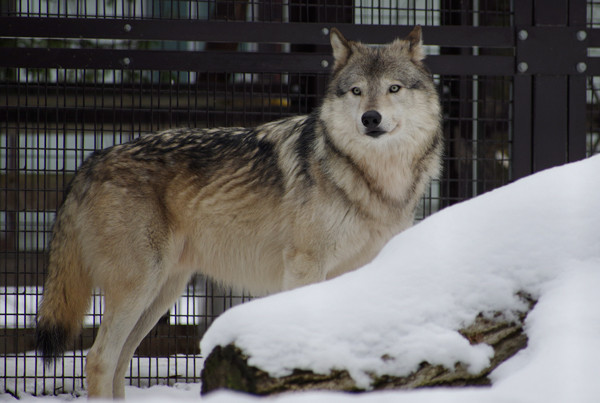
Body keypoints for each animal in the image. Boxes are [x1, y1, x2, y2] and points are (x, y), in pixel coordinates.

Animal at [36, 26, 440, 400]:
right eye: (356, 91)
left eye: (393, 89)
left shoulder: (357, 271)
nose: (371, 118)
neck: (372, 178)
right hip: (139, 287)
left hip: (162, 293)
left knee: (122, 359)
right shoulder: (305, 266)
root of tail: (91, 160)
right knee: (99, 358)